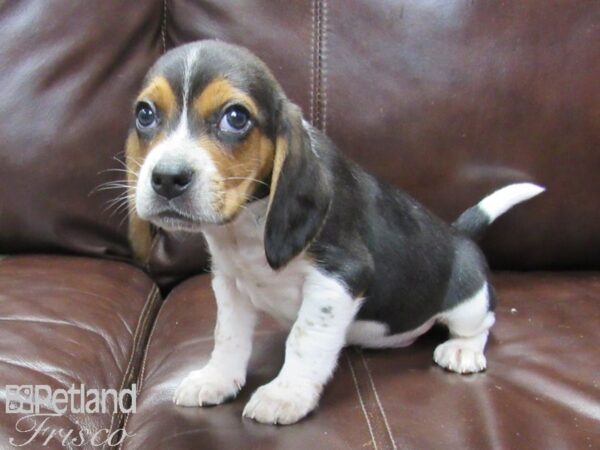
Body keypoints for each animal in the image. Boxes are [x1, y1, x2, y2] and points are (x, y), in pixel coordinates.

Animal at [125, 41, 544, 426]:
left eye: (236, 117)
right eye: (145, 114)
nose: (167, 178)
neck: (247, 223)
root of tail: (460, 235)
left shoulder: (338, 276)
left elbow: (304, 338)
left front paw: (285, 394)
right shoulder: (229, 283)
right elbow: (228, 336)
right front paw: (216, 379)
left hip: (469, 302)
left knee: (481, 325)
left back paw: (461, 350)